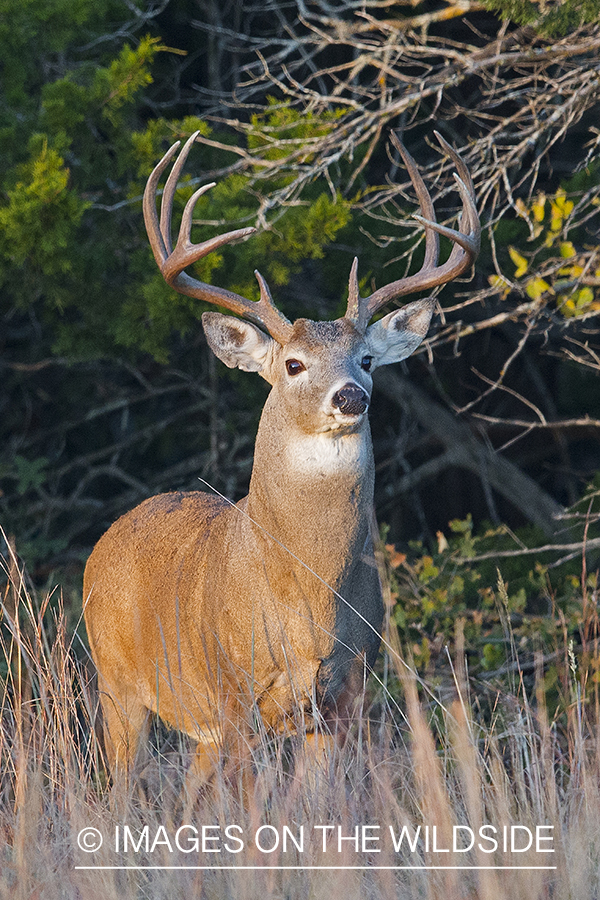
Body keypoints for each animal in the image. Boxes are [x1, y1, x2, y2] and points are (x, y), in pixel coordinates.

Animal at [82, 130, 480, 784]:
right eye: (293, 364)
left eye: (366, 359)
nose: (351, 395)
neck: (307, 602)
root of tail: (105, 542)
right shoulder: (234, 695)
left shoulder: (344, 694)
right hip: (119, 688)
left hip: (194, 727)